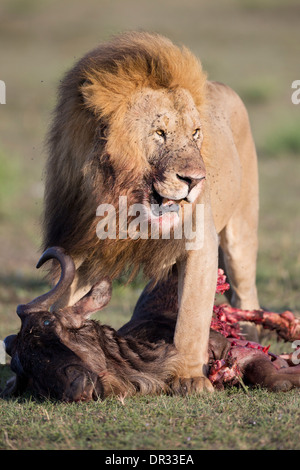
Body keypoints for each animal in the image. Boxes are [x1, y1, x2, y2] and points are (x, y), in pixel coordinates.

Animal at [42, 32, 260, 392]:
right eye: (160, 133)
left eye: (196, 133)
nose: (195, 180)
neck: (128, 204)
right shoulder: (81, 242)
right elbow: (66, 294)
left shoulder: (200, 242)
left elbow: (191, 317)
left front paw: (189, 377)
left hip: (242, 232)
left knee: (246, 293)